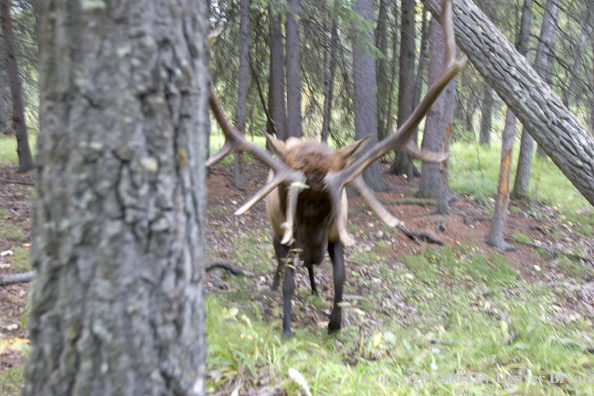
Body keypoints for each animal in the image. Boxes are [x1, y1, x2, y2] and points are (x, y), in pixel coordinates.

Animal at [206, 0, 464, 338]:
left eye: (332, 208)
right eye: (291, 200)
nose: (313, 255)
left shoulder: (336, 234)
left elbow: (341, 277)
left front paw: (335, 323)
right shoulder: (288, 234)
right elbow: (288, 281)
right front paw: (287, 327)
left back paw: (315, 287)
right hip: (275, 230)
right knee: (277, 260)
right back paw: (277, 285)